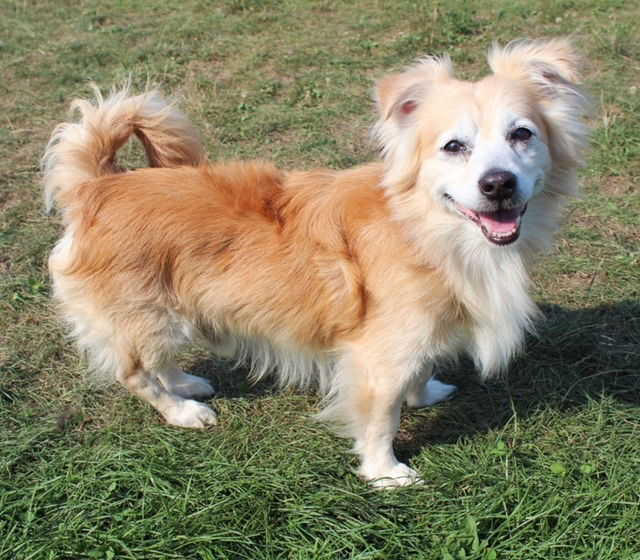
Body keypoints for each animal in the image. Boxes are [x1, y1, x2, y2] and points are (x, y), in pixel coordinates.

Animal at [45, 39, 592, 486]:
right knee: (136, 374)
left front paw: (425, 392)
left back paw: (186, 384)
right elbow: (381, 419)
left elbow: (418, 372)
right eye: (453, 147)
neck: (426, 228)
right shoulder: (379, 357)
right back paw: (182, 409)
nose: (498, 184)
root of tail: (97, 185)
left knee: (162, 362)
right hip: (148, 317)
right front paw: (385, 473)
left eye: (522, 135)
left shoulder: (414, 336)